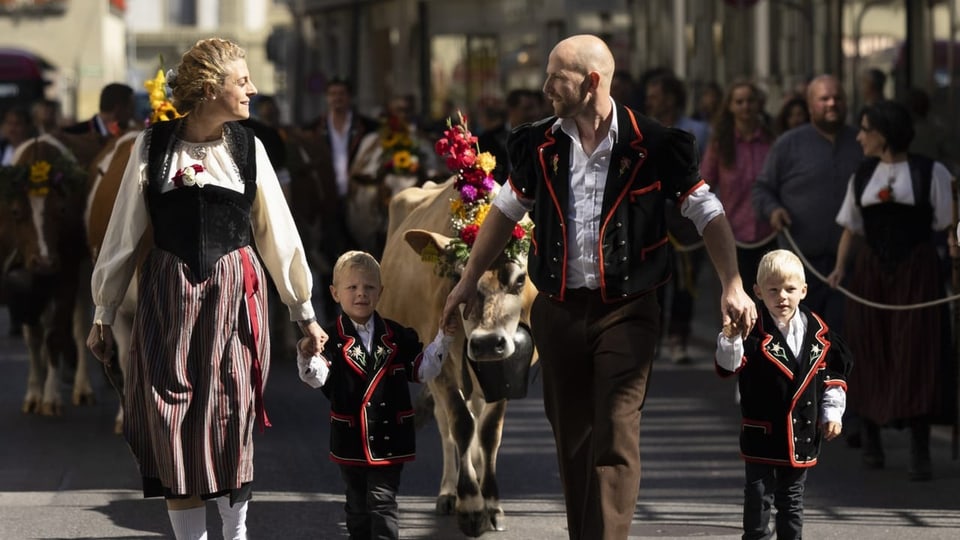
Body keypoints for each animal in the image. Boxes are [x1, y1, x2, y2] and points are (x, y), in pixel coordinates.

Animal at [376, 114, 540, 536]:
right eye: (456, 277)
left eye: (519, 279)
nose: (485, 343)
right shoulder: (439, 364)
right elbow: (461, 425)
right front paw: (470, 504)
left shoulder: (505, 367)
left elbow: (489, 430)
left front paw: (491, 501)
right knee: (448, 424)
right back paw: (450, 492)